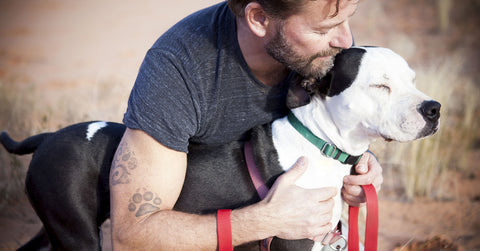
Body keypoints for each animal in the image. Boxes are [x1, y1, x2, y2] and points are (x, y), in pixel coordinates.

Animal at [1, 46, 440, 250]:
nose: (434, 108)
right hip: (77, 233)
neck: (321, 144)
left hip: (57, 227)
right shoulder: (295, 240)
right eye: (379, 85)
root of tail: (46, 137)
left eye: (413, 79)